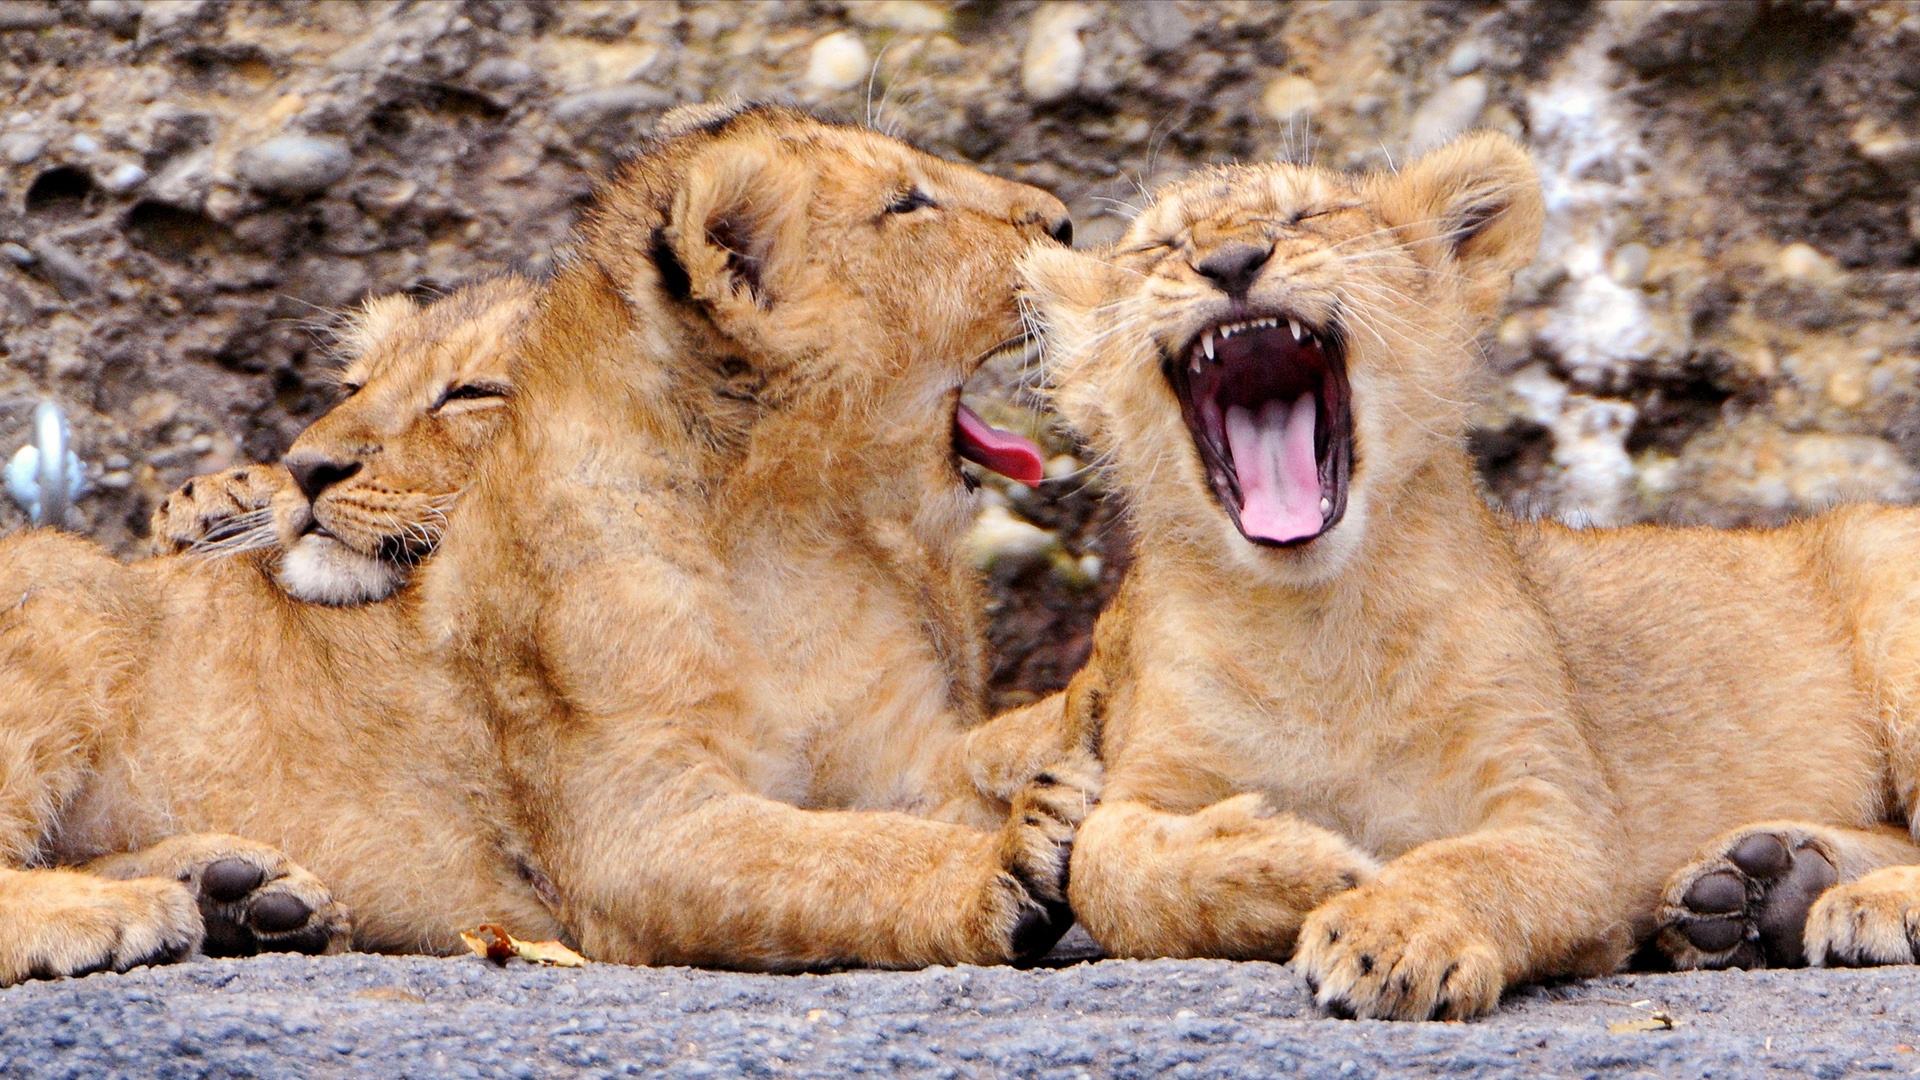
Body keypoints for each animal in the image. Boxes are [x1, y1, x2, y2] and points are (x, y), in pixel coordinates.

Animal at [404, 103, 1099, 971]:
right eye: (906, 204)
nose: (1064, 221)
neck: (770, 530)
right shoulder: (636, 832)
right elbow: (844, 855)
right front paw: (1010, 866)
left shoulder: (891, 754)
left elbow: (982, 755)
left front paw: (1096, 706)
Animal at [1018, 129, 1920, 1020]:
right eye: (1159, 248)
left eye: (1312, 215)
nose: (1232, 261)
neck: (1314, 625)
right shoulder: (1148, 773)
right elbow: (1102, 867)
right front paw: (1303, 863)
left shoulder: (1565, 820)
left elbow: (1471, 865)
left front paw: (1390, 932)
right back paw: (1758, 886)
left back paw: (1858, 903)